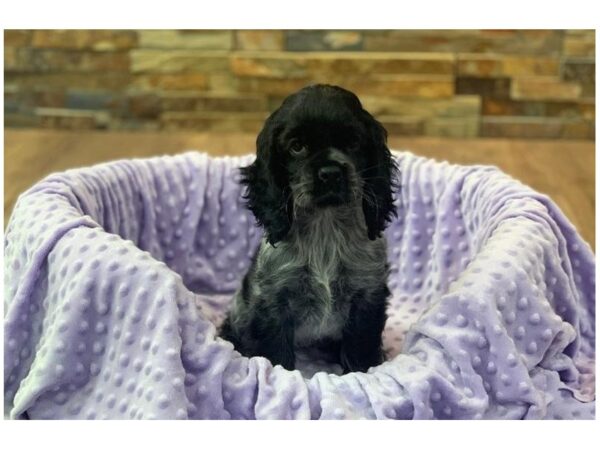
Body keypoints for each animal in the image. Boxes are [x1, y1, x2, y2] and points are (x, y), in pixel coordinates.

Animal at [219, 83, 398, 372]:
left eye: (353, 142)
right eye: (297, 146)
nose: (331, 173)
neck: (325, 226)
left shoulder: (367, 295)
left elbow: (360, 349)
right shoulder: (274, 300)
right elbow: (276, 353)